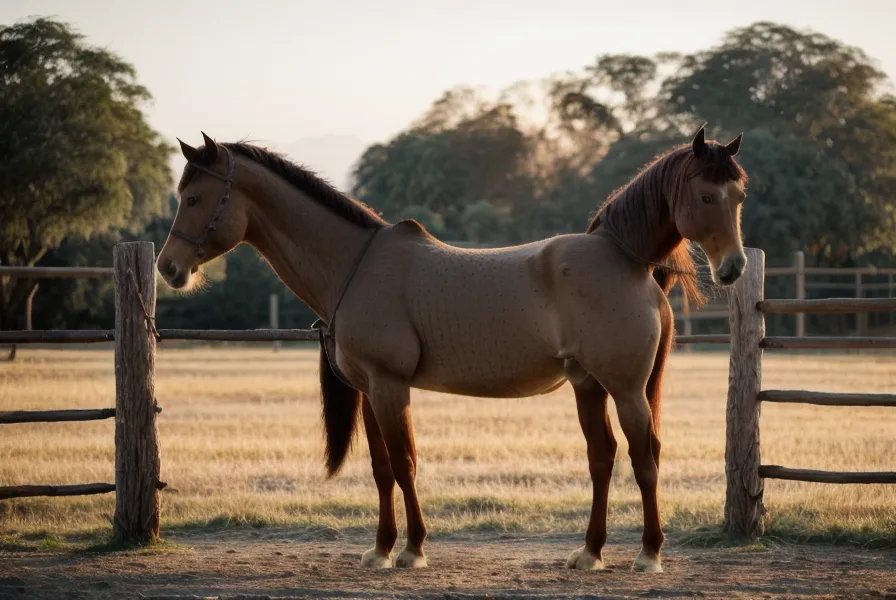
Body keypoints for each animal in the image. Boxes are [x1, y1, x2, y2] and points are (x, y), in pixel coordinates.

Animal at [156, 125, 748, 573]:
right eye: (710, 195)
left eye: (193, 198)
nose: (169, 267)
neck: (356, 263)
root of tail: (627, 258)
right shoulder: (370, 390)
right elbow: (381, 468)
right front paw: (381, 549)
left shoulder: (390, 387)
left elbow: (405, 463)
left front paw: (413, 550)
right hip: (588, 386)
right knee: (602, 459)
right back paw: (589, 552)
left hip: (625, 390)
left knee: (645, 457)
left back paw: (648, 554)